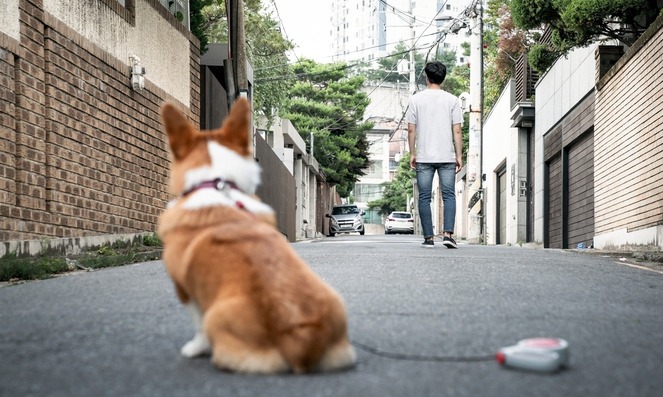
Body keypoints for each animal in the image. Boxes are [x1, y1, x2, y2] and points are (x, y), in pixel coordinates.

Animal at [158, 97, 358, 372]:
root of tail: (301, 336)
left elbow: (197, 323)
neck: (217, 184)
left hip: (219, 317)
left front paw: (194, 348)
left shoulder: (186, 289)